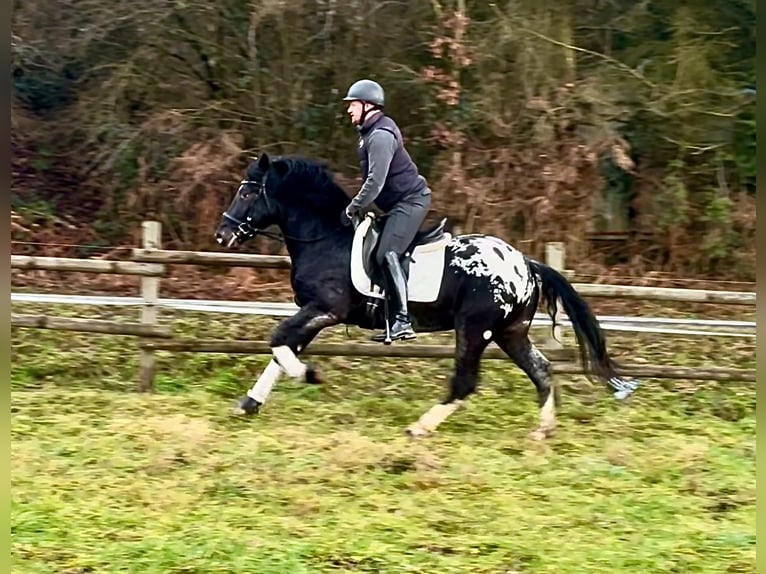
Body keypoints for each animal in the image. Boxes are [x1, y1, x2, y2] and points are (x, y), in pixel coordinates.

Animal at [213, 153, 640, 440]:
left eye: (247, 192)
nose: (222, 234)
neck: (325, 238)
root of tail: (526, 263)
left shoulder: (326, 309)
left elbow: (279, 341)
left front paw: (309, 375)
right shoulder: (313, 312)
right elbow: (282, 348)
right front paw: (250, 404)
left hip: (475, 329)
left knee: (465, 381)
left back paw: (419, 427)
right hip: (510, 332)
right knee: (541, 369)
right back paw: (543, 430)